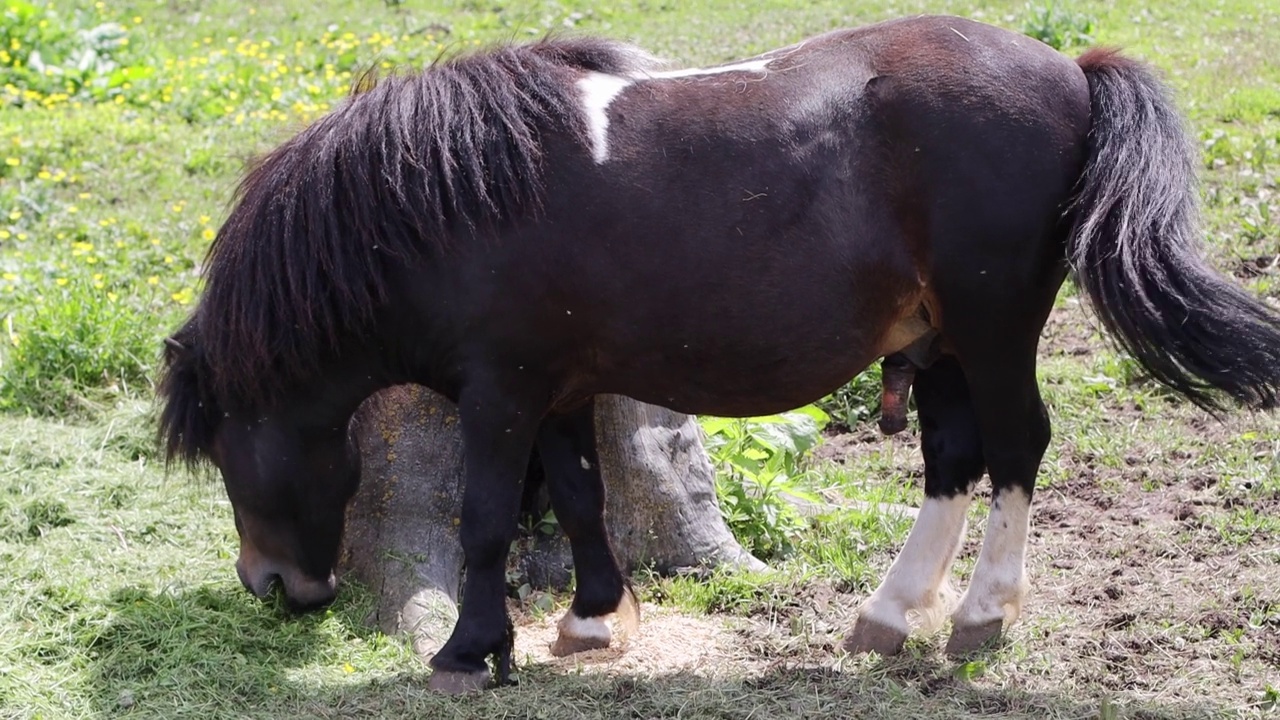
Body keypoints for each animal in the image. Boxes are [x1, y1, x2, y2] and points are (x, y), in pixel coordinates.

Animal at [157, 15, 1280, 691]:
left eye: (223, 448)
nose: (271, 587)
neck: (447, 203)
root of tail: (1070, 69)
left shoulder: (499, 393)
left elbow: (483, 522)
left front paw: (471, 650)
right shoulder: (556, 390)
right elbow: (580, 496)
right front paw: (590, 620)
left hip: (992, 326)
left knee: (1016, 448)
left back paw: (981, 616)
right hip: (939, 342)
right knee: (954, 462)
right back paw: (888, 616)